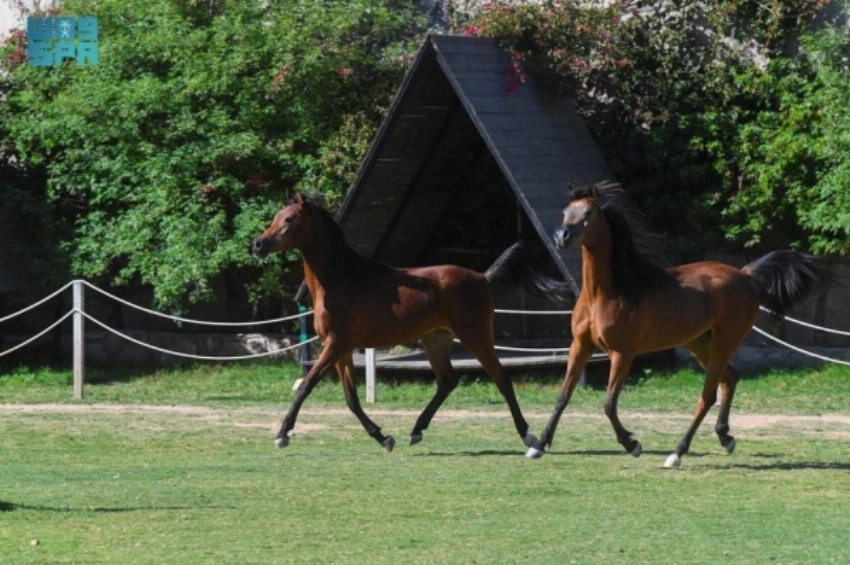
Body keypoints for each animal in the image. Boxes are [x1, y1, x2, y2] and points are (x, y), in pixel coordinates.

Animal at [252, 192, 572, 452]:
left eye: (289, 219)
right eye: (276, 217)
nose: (258, 245)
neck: (341, 279)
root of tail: (482, 277)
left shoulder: (335, 345)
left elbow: (306, 385)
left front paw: (282, 435)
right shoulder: (341, 350)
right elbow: (351, 398)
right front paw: (383, 438)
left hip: (475, 336)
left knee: (501, 378)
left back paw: (529, 437)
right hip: (436, 340)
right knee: (447, 382)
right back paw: (416, 431)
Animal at [525, 182, 824, 468]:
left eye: (588, 213)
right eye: (566, 211)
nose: (561, 237)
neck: (607, 293)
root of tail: (745, 275)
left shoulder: (622, 353)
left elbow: (609, 403)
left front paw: (632, 444)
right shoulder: (581, 345)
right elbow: (563, 396)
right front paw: (538, 445)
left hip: (724, 341)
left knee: (708, 396)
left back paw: (677, 453)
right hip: (698, 341)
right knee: (729, 379)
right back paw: (725, 437)